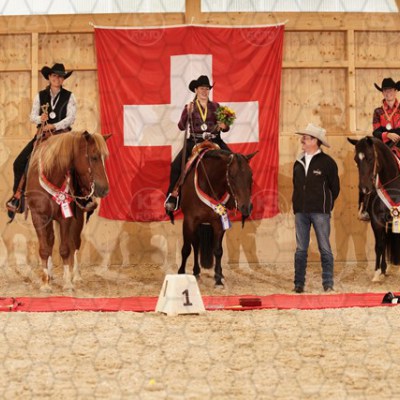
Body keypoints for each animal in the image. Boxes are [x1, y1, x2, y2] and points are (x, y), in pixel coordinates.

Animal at [25, 131, 111, 291]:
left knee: (75, 244)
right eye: (94, 157)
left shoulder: (66, 218)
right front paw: (45, 284)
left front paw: (67, 282)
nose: (104, 189)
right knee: (51, 241)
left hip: (78, 219)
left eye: (105, 158)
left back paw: (75, 276)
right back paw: (50, 275)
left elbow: (65, 249)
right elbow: (44, 248)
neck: (51, 175)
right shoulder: (38, 217)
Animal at [176, 148, 256, 286]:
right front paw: (181, 273)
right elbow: (186, 249)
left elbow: (218, 251)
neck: (208, 185)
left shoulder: (219, 222)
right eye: (232, 176)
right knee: (195, 245)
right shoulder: (189, 221)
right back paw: (196, 272)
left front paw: (218, 279)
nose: (246, 207)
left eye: (250, 175)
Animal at [348, 136, 400, 281]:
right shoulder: (377, 221)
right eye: (356, 159)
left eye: (370, 158)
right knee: (384, 241)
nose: (364, 188)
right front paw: (377, 273)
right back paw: (384, 269)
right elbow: (379, 245)